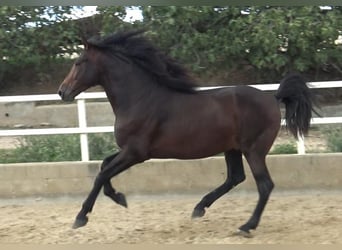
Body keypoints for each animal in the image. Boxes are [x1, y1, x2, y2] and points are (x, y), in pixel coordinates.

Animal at [58, 29, 316, 236]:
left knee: (264, 185)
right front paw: (120, 198)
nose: (62, 92)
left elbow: (101, 175)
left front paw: (81, 218)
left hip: (254, 150)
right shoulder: (129, 151)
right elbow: (104, 166)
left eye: (78, 62)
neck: (140, 99)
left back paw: (246, 226)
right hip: (232, 148)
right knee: (235, 177)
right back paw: (199, 208)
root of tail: (273, 97)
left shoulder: (135, 153)